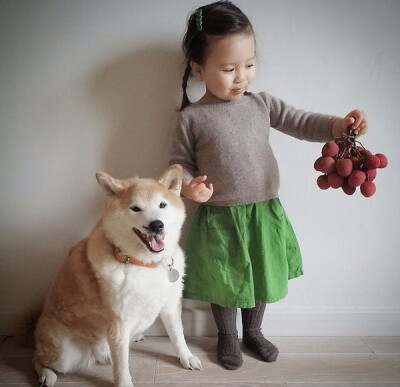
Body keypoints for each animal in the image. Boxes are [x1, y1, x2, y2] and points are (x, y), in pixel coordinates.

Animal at [30, 164, 203, 387]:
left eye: (162, 205)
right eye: (135, 208)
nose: (156, 225)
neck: (144, 264)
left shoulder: (170, 304)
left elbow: (178, 336)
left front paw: (186, 357)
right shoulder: (119, 321)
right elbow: (121, 364)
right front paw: (124, 383)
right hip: (63, 353)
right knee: (37, 359)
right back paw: (47, 375)